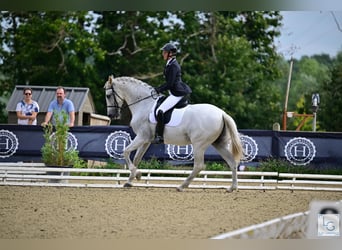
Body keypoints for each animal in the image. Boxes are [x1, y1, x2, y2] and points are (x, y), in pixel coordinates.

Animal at [104, 74, 243, 191]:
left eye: (108, 95)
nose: (111, 115)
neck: (144, 104)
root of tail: (222, 113)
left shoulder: (142, 137)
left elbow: (125, 151)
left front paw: (136, 174)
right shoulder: (146, 140)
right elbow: (137, 158)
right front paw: (130, 180)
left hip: (199, 144)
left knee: (199, 166)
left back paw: (182, 186)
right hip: (218, 143)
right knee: (232, 162)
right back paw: (232, 188)